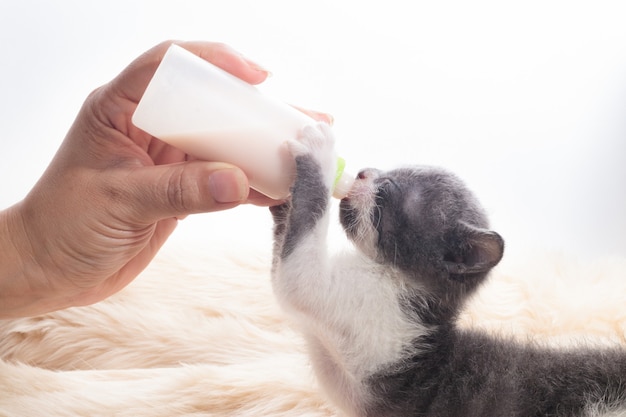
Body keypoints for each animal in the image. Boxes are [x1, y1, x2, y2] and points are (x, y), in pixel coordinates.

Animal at [270, 122, 624, 416]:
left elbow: (298, 272)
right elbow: (284, 250)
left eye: (387, 189)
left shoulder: (367, 316)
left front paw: (319, 154)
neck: (395, 280)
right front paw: (279, 202)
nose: (361, 172)